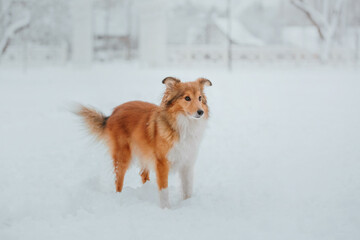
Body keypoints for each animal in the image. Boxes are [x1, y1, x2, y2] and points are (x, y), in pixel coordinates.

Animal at [76, 77, 211, 208]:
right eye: (187, 98)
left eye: (200, 98)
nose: (201, 112)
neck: (184, 125)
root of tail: (114, 112)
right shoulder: (162, 163)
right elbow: (164, 190)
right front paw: (166, 209)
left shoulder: (187, 164)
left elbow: (187, 189)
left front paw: (188, 204)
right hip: (123, 157)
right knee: (118, 181)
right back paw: (119, 197)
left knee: (143, 175)